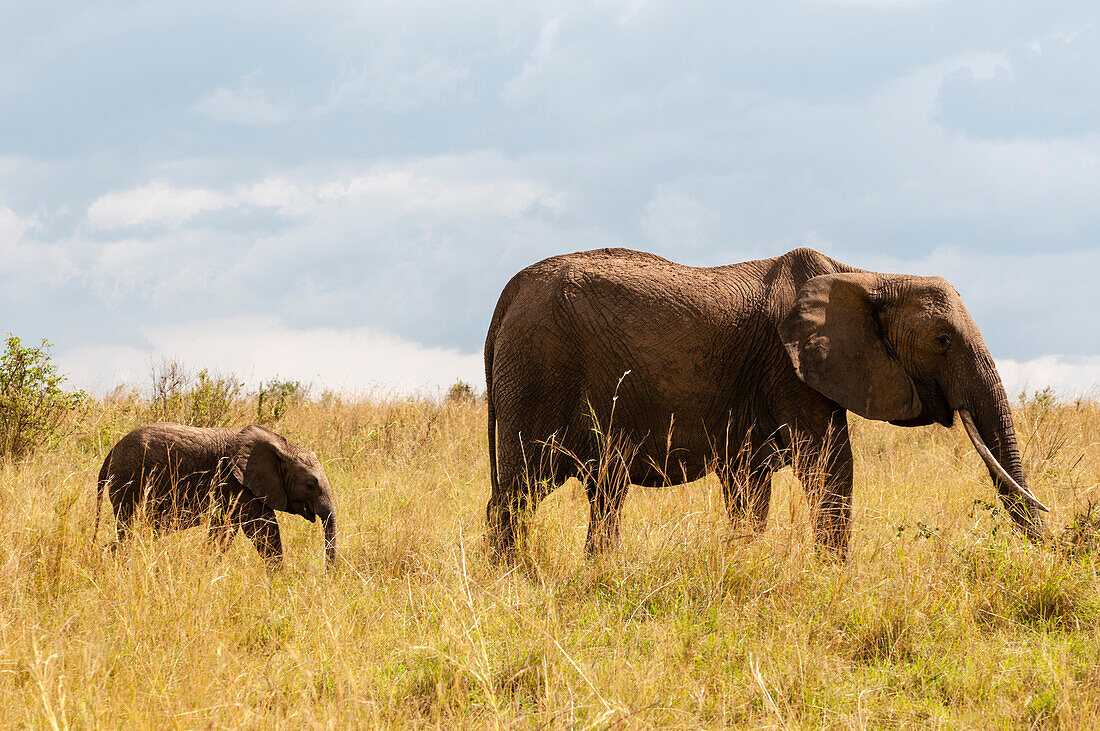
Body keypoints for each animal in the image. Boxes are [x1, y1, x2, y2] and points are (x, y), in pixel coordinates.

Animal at [94, 419, 334, 567]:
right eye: (310, 485)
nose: (328, 576)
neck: (282, 446)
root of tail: (110, 453)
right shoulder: (235, 482)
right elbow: (261, 528)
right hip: (129, 479)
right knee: (129, 528)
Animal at [484, 248, 1047, 560]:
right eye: (943, 342)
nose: (1050, 551)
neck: (869, 277)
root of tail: (506, 295)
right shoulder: (791, 370)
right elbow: (832, 468)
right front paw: (832, 576)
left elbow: (750, 492)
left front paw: (746, 560)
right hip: (537, 372)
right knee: (518, 491)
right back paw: (514, 580)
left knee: (598, 491)